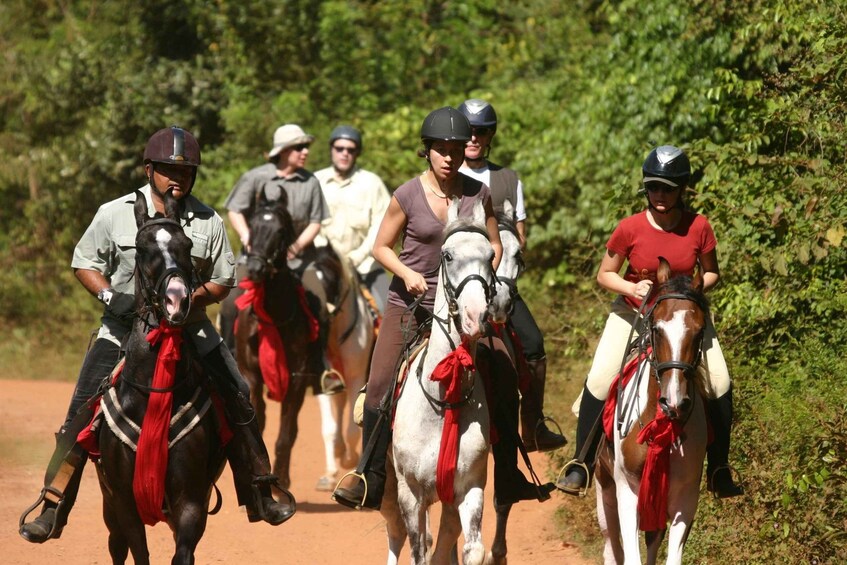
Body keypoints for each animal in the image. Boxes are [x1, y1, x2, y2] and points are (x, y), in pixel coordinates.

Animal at [96, 193, 227, 564]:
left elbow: (183, 553)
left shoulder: (191, 501)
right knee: (116, 547)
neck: (150, 393)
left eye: (187, 245)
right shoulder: (123, 502)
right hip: (109, 509)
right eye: (141, 248)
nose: (176, 299)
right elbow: (138, 553)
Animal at [235, 193, 324, 490]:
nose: (255, 269)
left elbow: (286, 434)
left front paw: (282, 480)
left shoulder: (296, 380)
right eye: (252, 226)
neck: (274, 316)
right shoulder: (251, 376)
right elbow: (258, 422)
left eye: (280, 231)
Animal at [592, 258, 712, 560]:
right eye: (657, 328)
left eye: (700, 331)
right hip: (604, 489)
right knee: (612, 547)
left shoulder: (685, 499)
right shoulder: (627, 491)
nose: (674, 401)